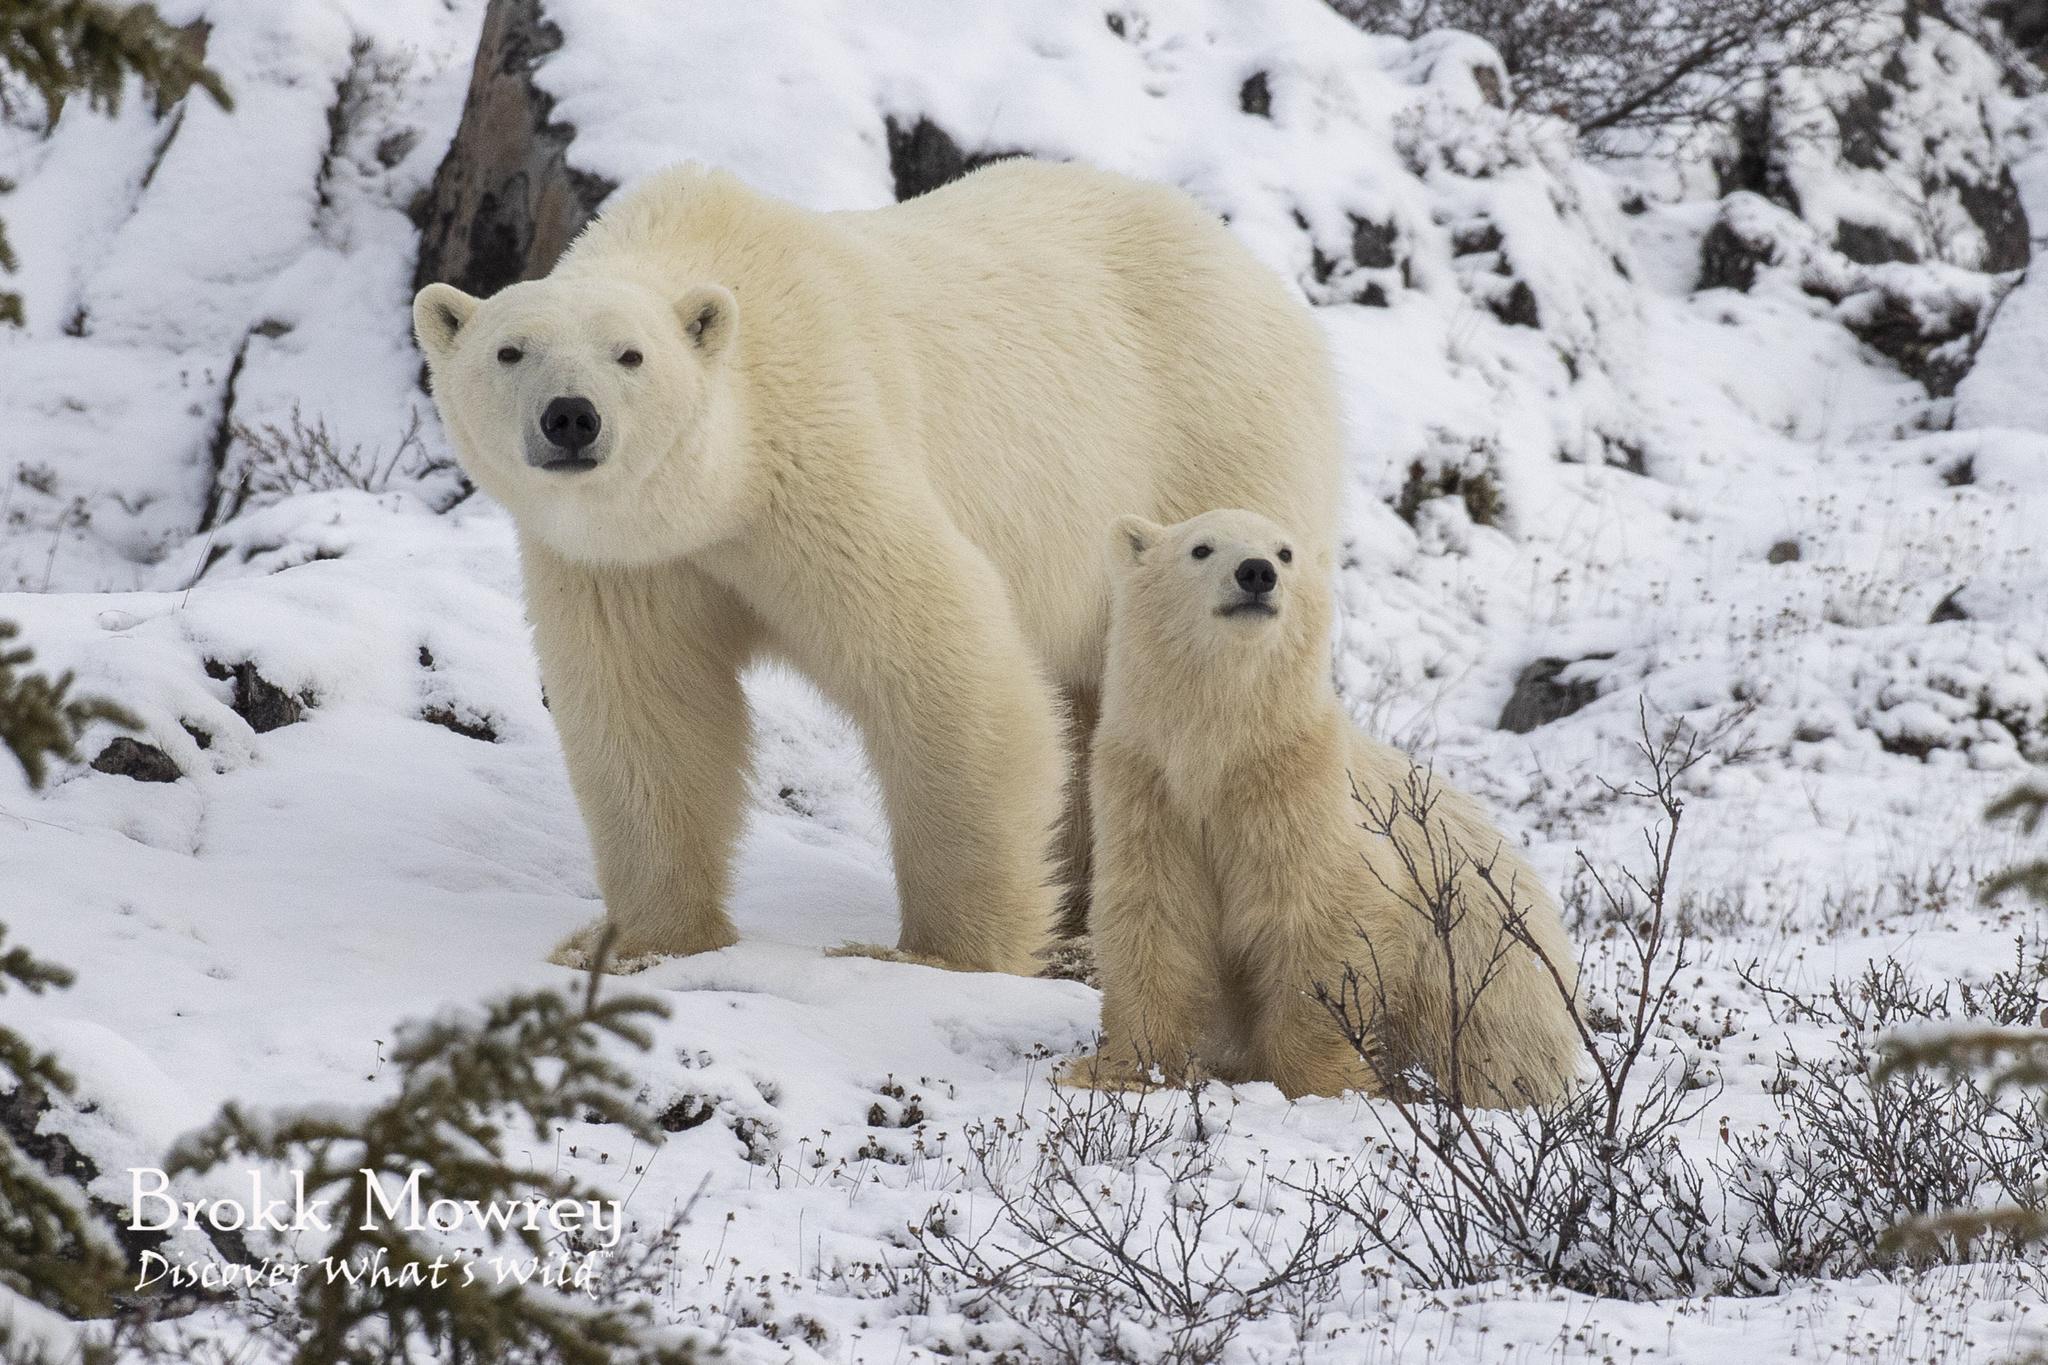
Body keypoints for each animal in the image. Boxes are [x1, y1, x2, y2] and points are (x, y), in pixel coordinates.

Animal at [411, 161, 1343, 974]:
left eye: (629, 354)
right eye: (512, 351)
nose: (572, 417)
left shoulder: (821, 458)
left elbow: (944, 663)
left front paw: (938, 953)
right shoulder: (629, 560)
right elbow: (649, 710)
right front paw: (643, 938)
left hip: (1208, 446)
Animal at [1060, 509, 1583, 1104]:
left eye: (1285, 552)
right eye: (1200, 548)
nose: (1257, 572)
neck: (1222, 755)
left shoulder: (1299, 796)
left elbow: (1324, 920)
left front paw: (1322, 1084)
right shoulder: (1148, 791)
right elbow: (1153, 914)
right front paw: (1125, 1071)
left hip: (1487, 958)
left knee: (1487, 1038)